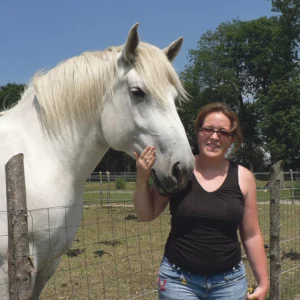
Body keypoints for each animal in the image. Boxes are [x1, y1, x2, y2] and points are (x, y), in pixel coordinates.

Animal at [0, 23, 195, 298]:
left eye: (174, 96)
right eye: (137, 92)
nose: (183, 169)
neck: (39, 156)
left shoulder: (48, 263)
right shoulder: (8, 271)